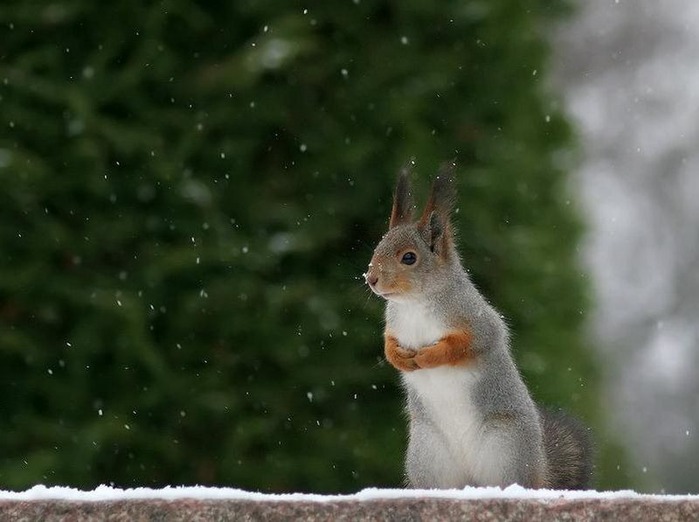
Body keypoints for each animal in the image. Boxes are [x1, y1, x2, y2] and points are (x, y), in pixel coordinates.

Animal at [364, 166, 592, 488]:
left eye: (409, 257)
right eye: (378, 246)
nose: (370, 278)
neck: (414, 303)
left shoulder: (478, 322)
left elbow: (468, 344)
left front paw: (429, 356)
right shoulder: (394, 324)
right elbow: (387, 343)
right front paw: (399, 357)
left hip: (506, 450)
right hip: (429, 455)